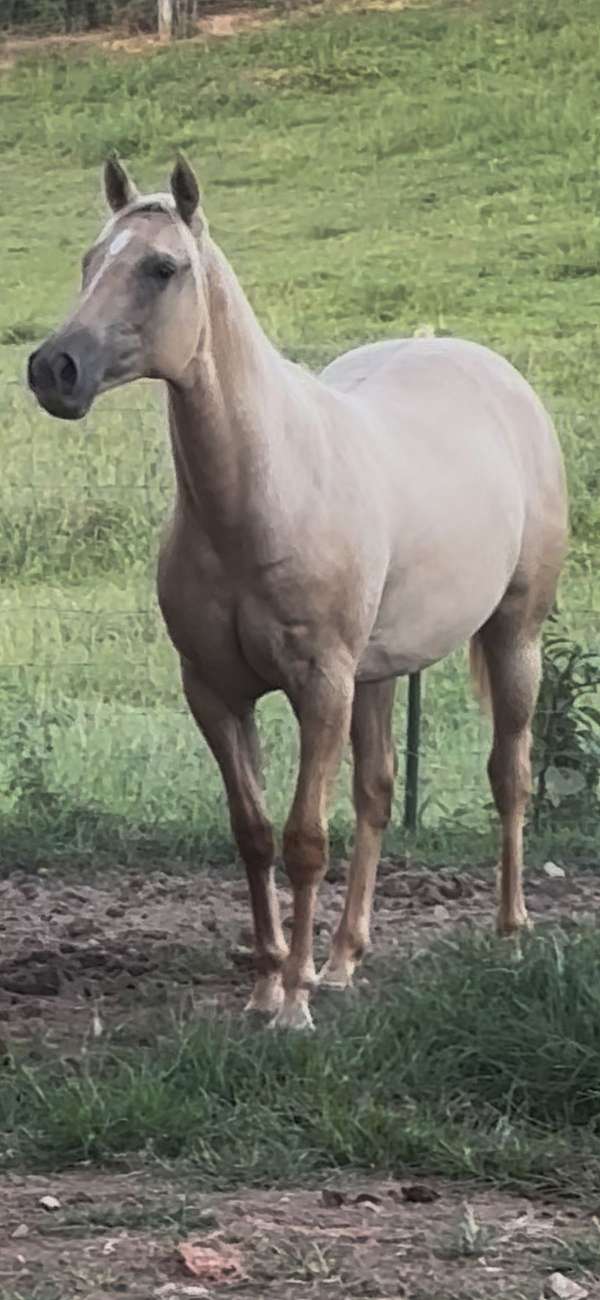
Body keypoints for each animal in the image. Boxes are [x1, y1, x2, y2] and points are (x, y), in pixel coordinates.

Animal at [28, 156, 568, 1029]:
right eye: (88, 261)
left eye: (162, 268)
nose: (54, 369)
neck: (262, 493)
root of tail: (497, 375)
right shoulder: (216, 693)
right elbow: (253, 833)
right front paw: (268, 983)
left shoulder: (320, 686)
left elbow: (305, 836)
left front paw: (292, 1007)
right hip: (378, 674)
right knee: (378, 791)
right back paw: (345, 959)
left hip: (513, 637)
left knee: (509, 775)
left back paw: (510, 934)